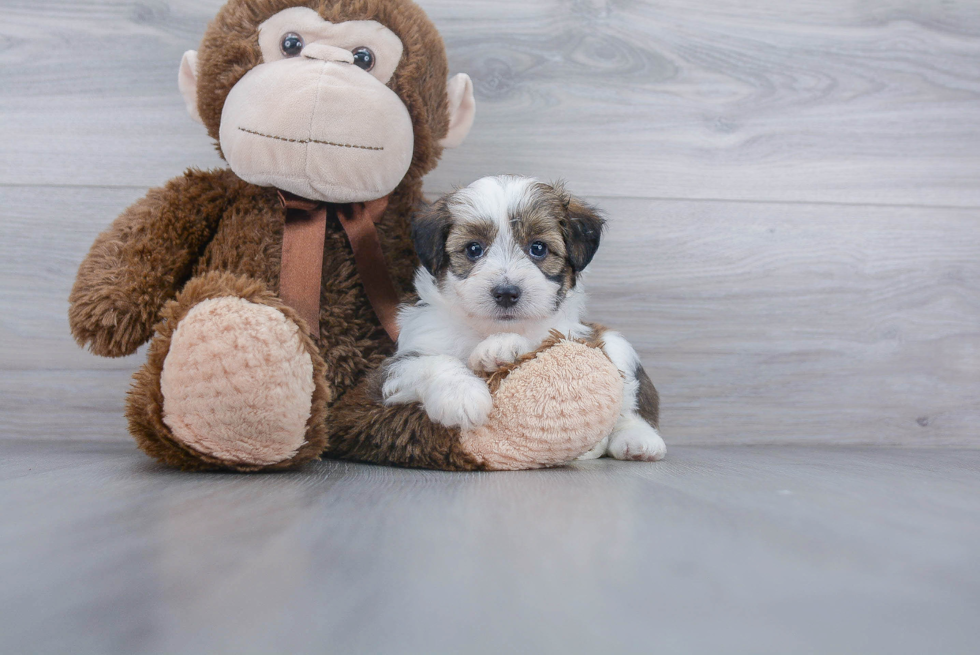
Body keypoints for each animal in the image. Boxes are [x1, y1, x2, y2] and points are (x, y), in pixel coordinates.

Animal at [380, 174, 668, 462]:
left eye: (538, 248)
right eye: (473, 249)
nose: (507, 293)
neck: (485, 328)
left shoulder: (566, 333)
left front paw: (501, 347)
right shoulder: (394, 366)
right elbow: (432, 361)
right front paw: (461, 396)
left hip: (615, 345)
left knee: (630, 400)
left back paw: (637, 440)